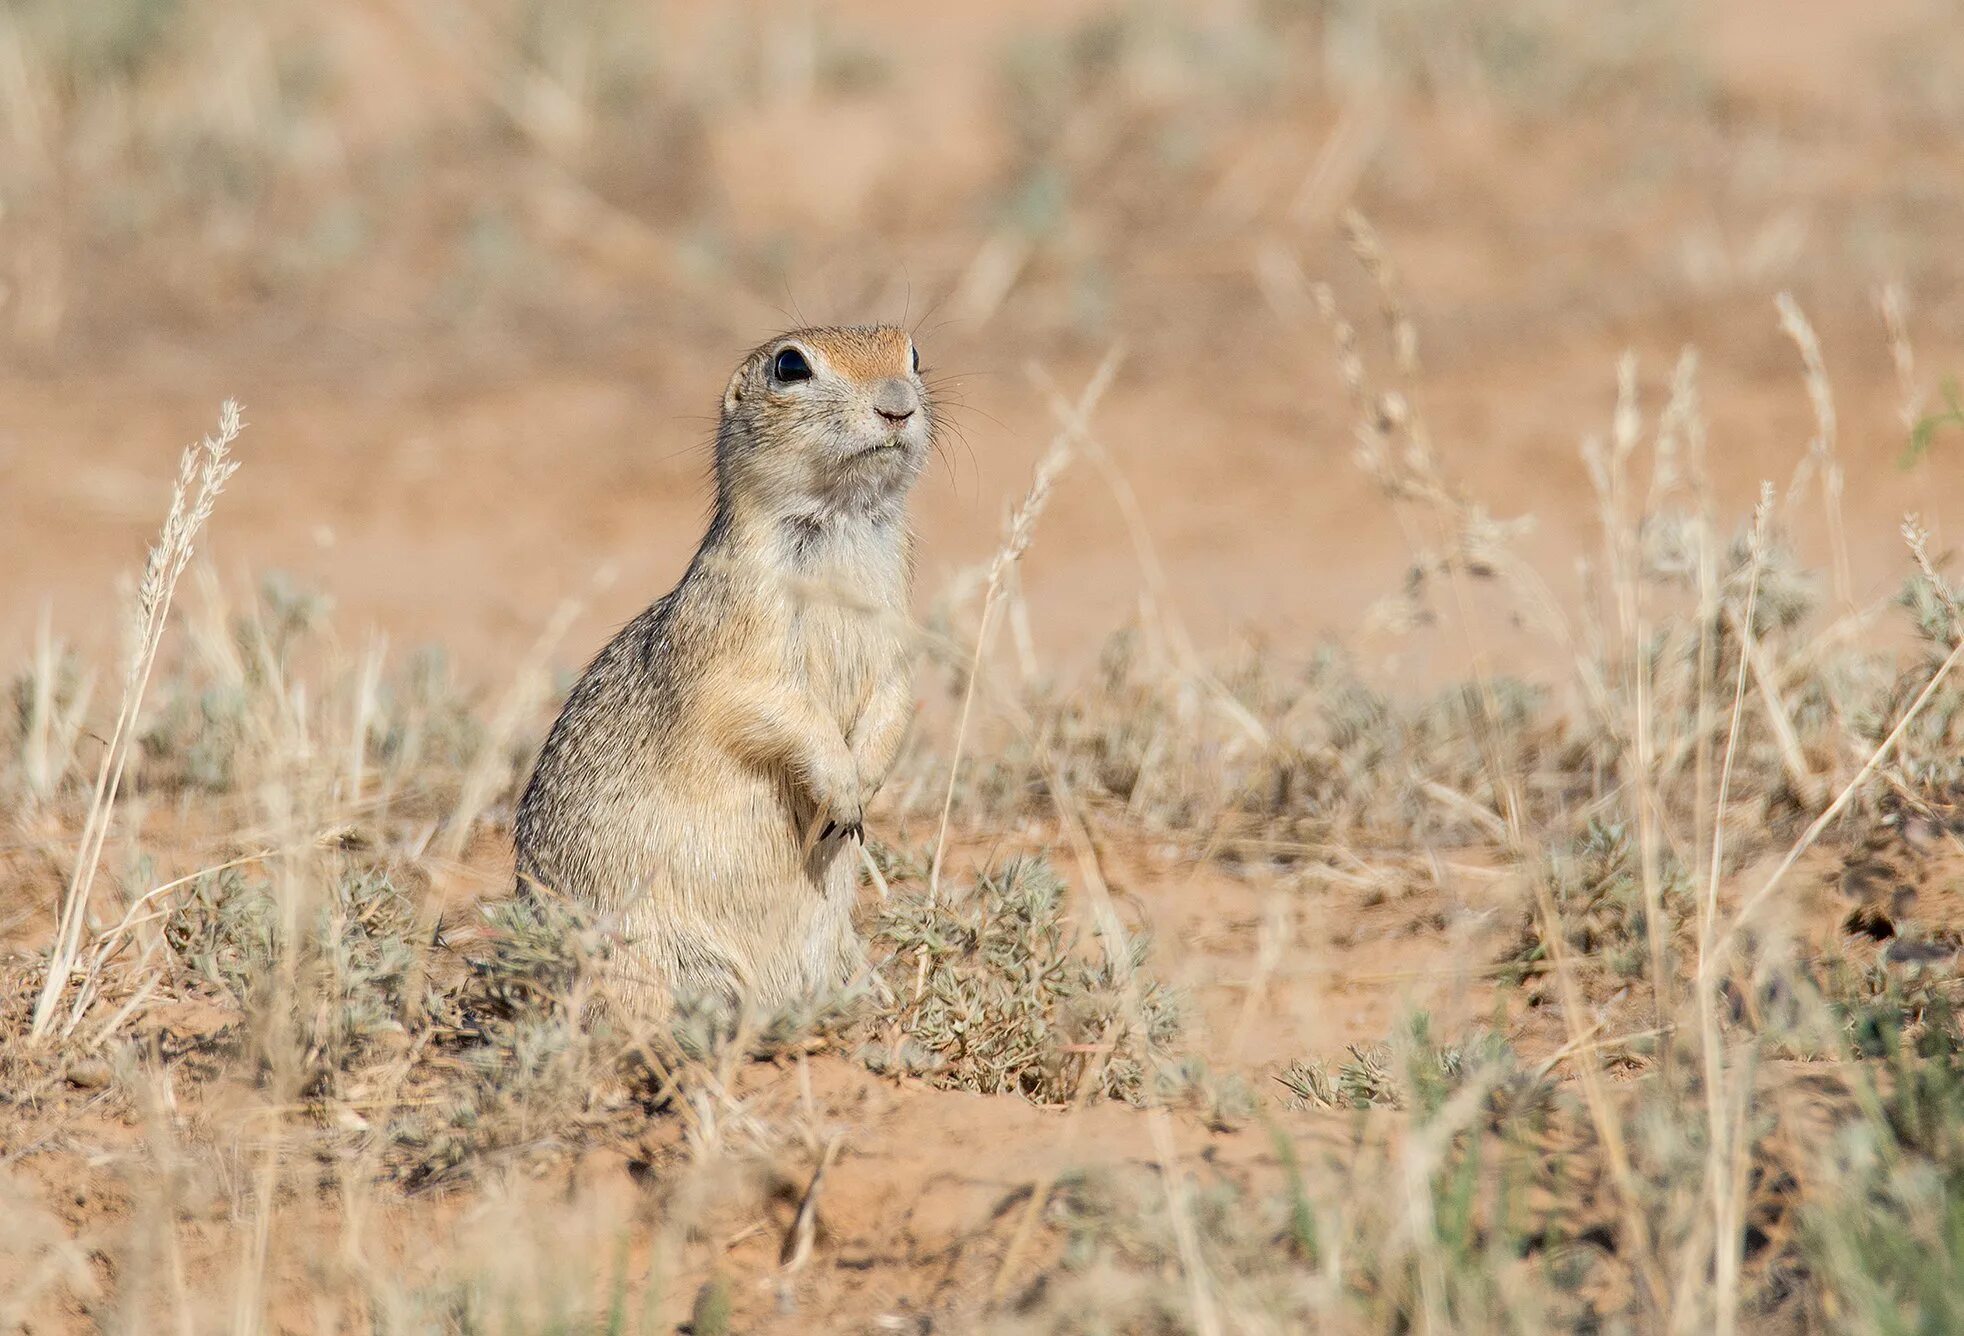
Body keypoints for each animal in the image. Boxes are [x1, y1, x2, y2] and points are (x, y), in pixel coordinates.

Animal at [510, 324, 930, 1013]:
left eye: (913, 354)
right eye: (790, 366)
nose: (897, 405)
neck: (839, 522)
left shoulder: (897, 637)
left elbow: (896, 701)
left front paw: (864, 786)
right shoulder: (738, 641)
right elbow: (769, 707)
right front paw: (842, 791)